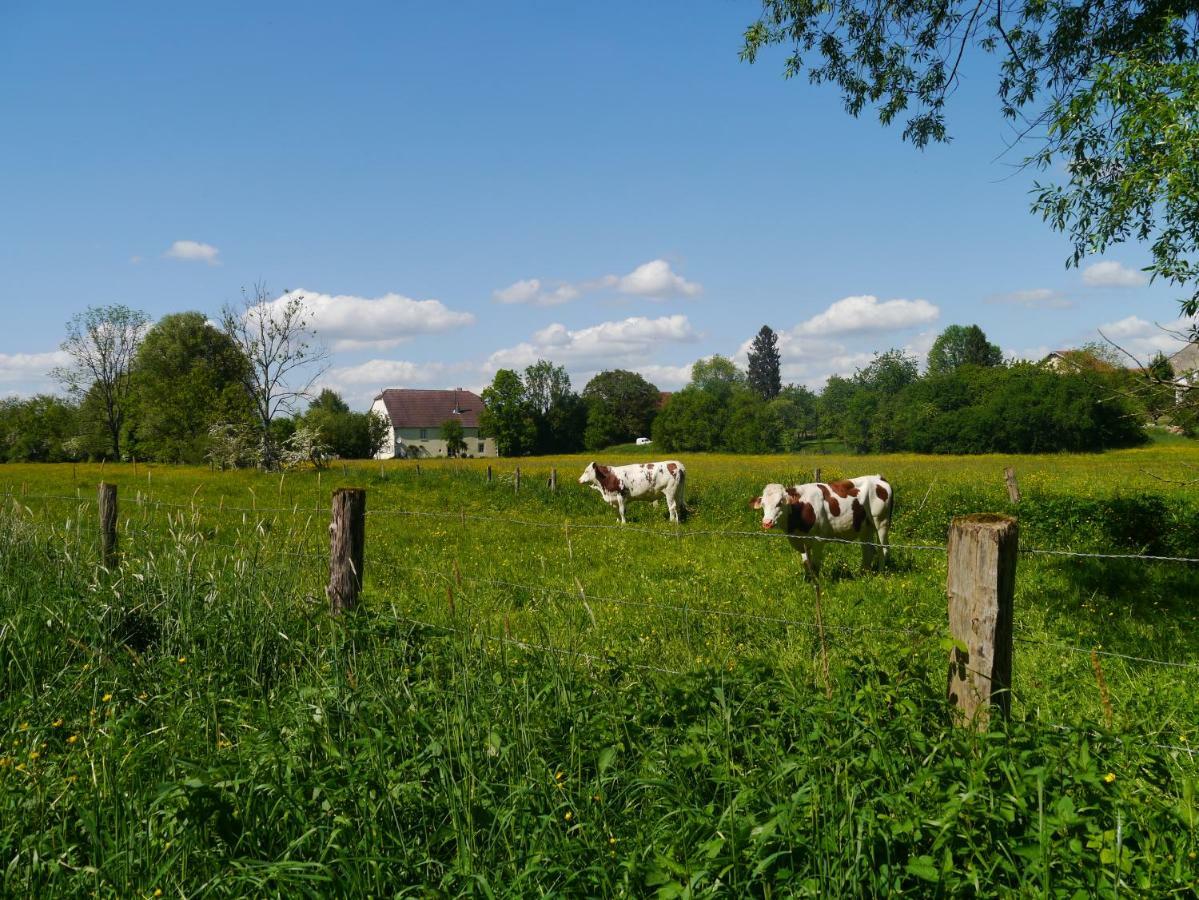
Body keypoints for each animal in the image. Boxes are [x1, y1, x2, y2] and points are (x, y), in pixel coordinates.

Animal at [748, 474, 892, 572]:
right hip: (865, 527)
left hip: (881, 522)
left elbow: (816, 565)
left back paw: (880, 573)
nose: (767, 522)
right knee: (868, 549)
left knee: (883, 549)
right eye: (763, 504)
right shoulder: (801, 541)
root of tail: (878, 477)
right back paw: (863, 573)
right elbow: (807, 564)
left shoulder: (818, 539)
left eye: (779, 503)